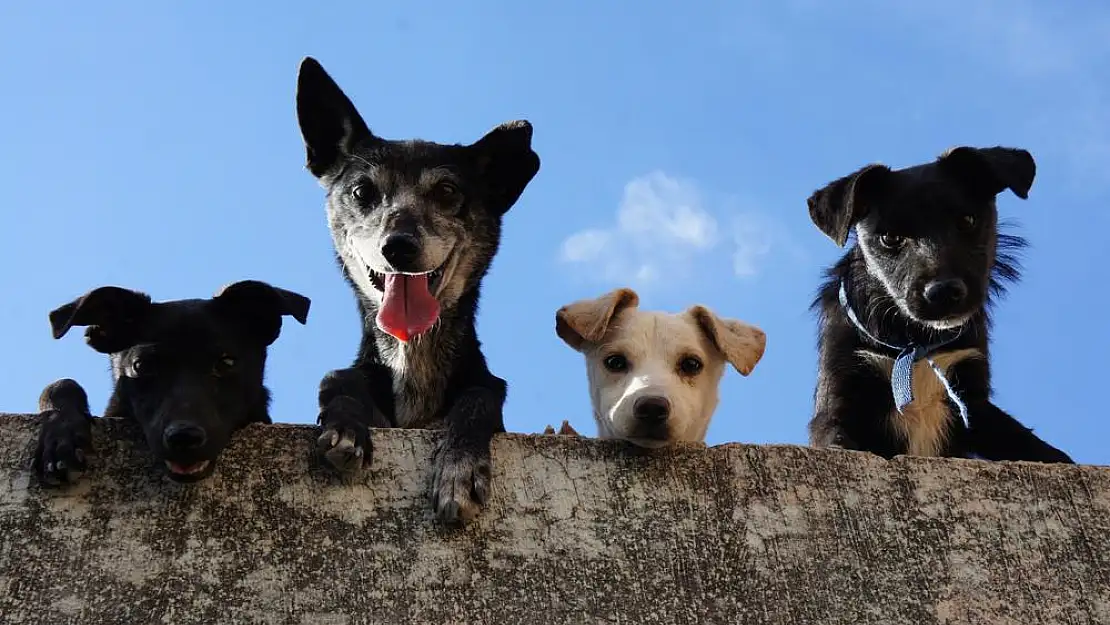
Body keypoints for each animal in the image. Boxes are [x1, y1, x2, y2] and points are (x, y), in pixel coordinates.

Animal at [808, 144, 1074, 461]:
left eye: (967, 221)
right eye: (890, 237)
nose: (944, 292)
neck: (916, 343)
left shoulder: (973, 402)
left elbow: (1031, 444)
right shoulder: (840, 394)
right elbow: (836, 438)